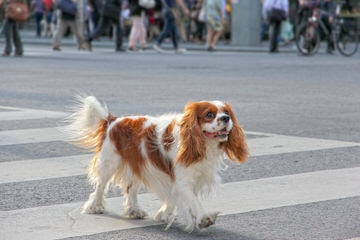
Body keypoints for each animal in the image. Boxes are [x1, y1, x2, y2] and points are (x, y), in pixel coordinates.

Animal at [64, 95, 248, 231]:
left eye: (227, 112)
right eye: (209, 115)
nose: (226, 118)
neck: (202, 144)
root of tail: (113, 120)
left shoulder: (191, 176)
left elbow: (174, 198)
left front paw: (164, 214)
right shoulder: (182, 181)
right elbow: (193, 200)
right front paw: (204, 218)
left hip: (137, 164)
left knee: (131, 189)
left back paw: (134, 210)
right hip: (109, 163)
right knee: (100, 186)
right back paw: (94, 207)